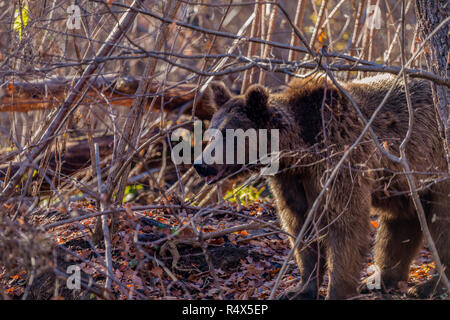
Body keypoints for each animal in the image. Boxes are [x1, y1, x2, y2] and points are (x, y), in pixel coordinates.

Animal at [196, 74, 450, 298]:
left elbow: (345, 224)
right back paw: (381, 279)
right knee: (401, 222)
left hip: (435, 166)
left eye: (229, 134)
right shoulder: (292, 181)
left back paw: (428, 286)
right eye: (211, 133)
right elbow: (300, 227)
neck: (299, 152)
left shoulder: (339, 160)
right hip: (406, 182)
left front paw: (337, 290)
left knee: (439, 222)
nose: (201, 165)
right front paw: (299, 289)